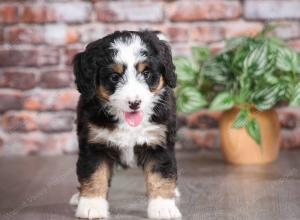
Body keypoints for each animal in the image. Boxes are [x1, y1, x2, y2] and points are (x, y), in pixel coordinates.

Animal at [70, 30, 182, 219]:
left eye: (146, 74)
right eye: (114, 77)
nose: (134, 103)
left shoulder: (158, 141)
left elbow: (160, 175)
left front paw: (163, 207)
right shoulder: (94, 143)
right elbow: (94, 174)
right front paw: (92, 205)